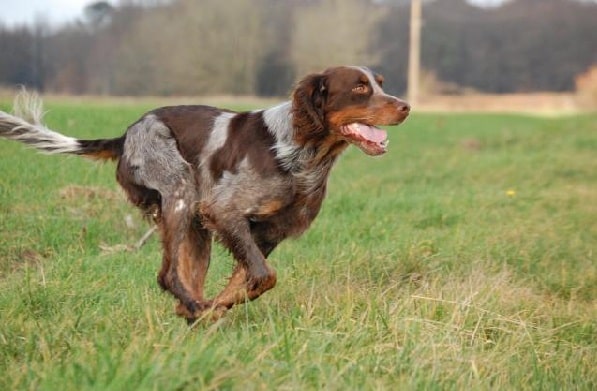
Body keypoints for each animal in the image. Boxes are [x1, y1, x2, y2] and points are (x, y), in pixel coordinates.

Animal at [0, 67, 408, 324]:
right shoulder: (225, 212)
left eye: (380, 83)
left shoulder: (267, 233)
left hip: (196, 227)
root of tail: (125, 136)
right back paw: (195, 308)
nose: (405, 106)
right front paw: (208, 310)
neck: (298, 151)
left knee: (184, 277)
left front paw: (211, 308)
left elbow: (248, 280)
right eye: (359, 87)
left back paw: (193, 309)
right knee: (166, 276)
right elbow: (264, 277)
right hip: (181, 193)